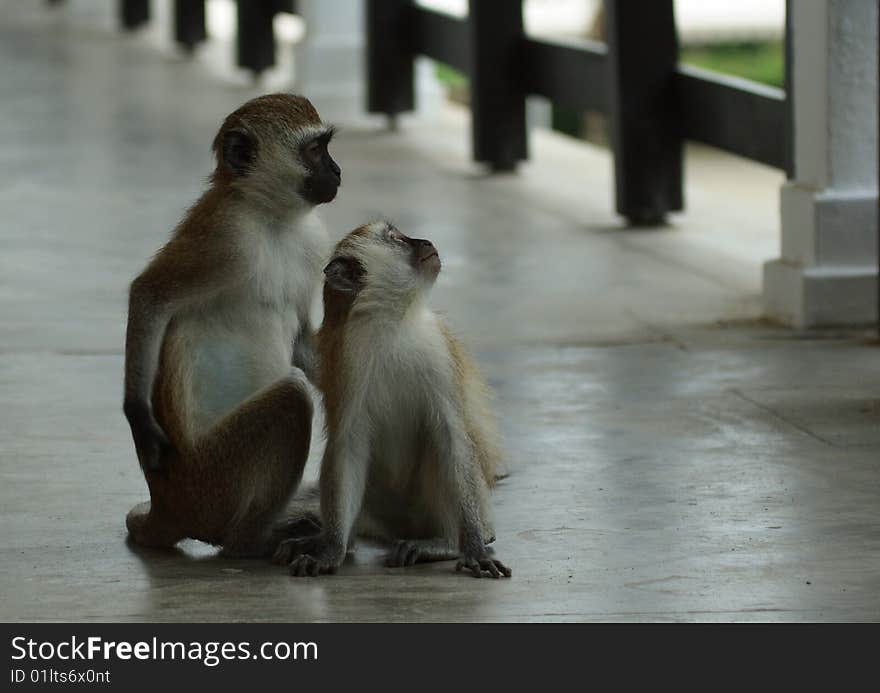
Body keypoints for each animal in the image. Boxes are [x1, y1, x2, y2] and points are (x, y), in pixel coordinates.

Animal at [123, 92, 340, 556]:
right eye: (315, 150)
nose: (337, 171)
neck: (269, 216)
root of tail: (168, 506)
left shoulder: (312, 243)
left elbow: (300, 339)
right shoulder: (225, 238)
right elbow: (149, 293)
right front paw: (139, 418)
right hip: (214, 480)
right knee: (292, 399)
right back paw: (251, 540)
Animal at [272, 223, 512, 580]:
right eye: (397, 238)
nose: (425, 241)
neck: (394, 323)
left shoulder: (438, 351)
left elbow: (452, 437)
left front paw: (473, 549)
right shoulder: (346, 359)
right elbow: (349, 445)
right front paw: (331, 549)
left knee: (438, 448)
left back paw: (447, 542)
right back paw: (342, 540)